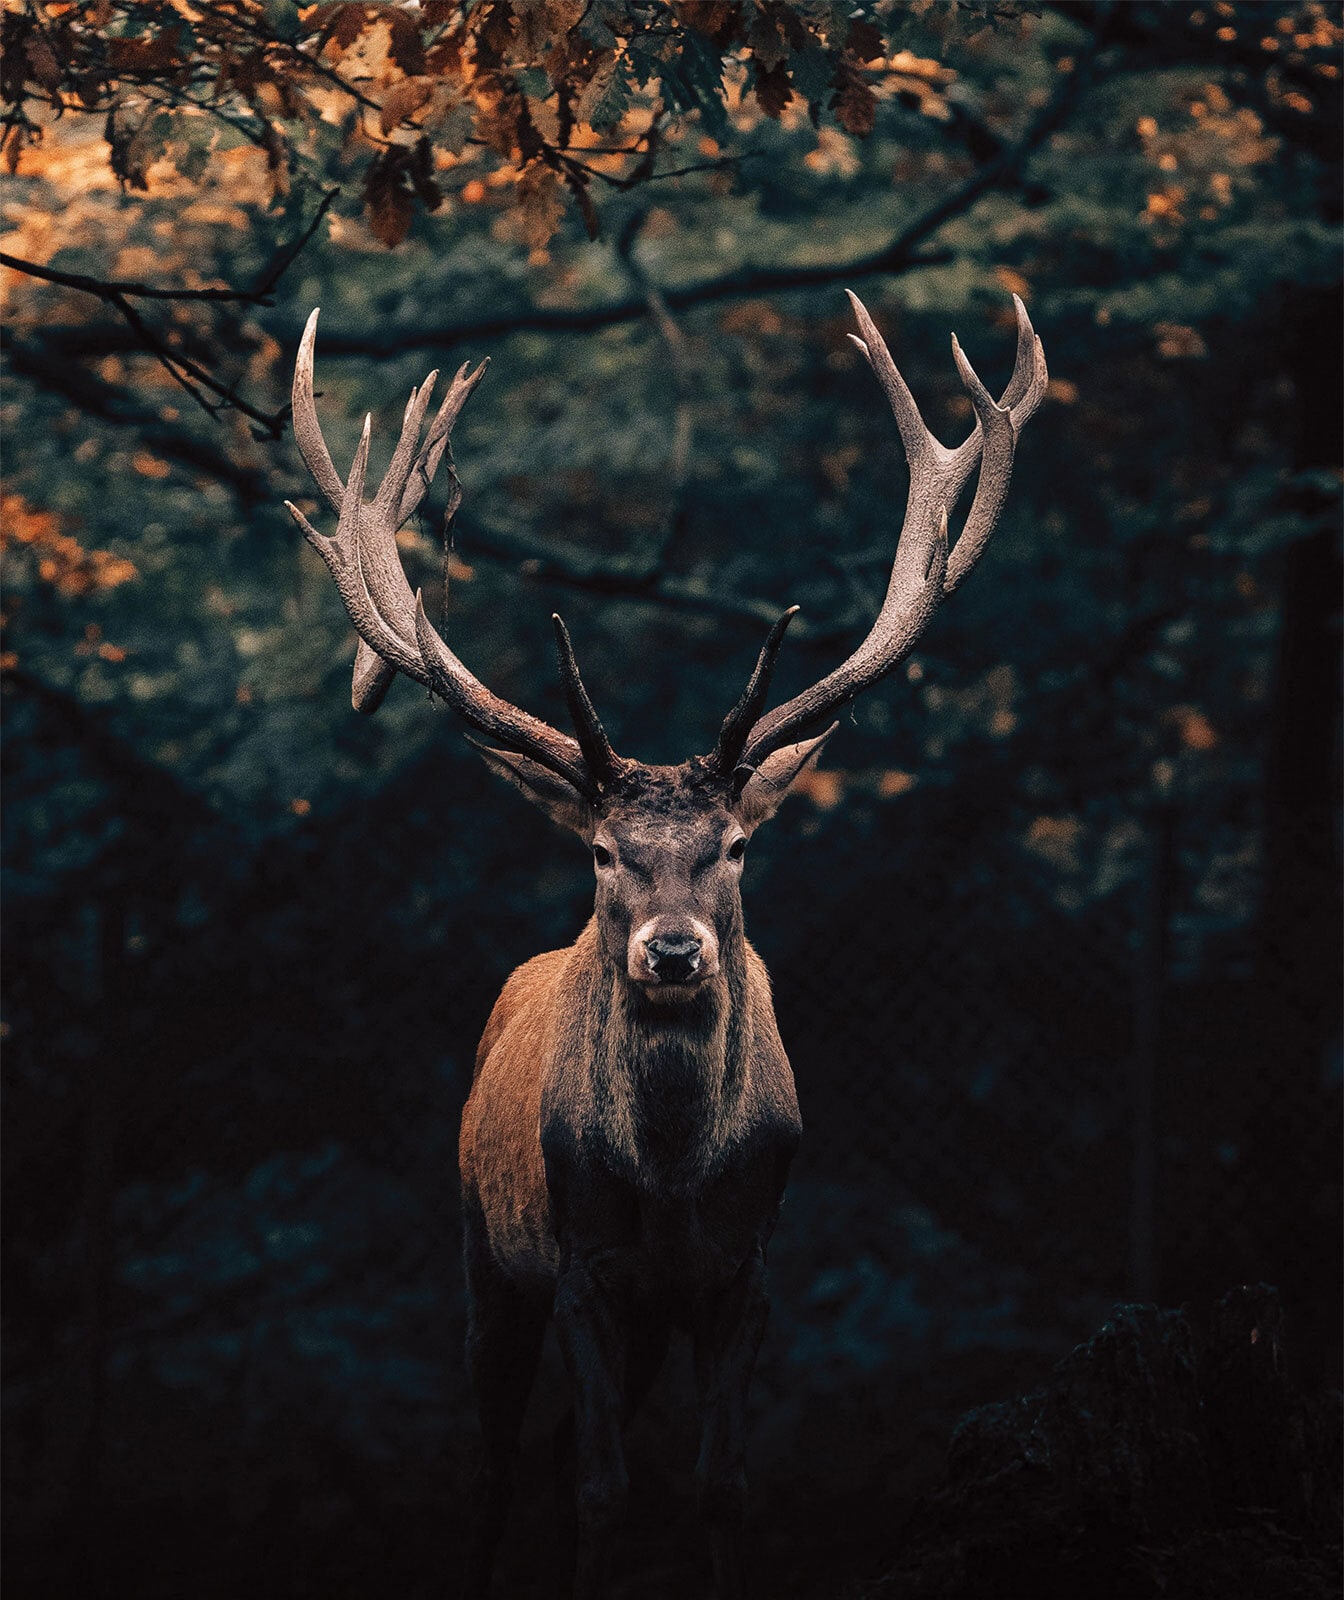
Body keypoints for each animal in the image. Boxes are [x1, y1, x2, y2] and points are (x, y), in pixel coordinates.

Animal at [285, 291, 1045, 1599]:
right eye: (601, 852)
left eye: (735, 845)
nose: (675, 953)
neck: (679, 1177)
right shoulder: (583, 1266)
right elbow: (602, 1489)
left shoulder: (747, 1273)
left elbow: (719, 1485)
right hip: (485, 1252)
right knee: (501, 1466)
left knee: (544, 1459)